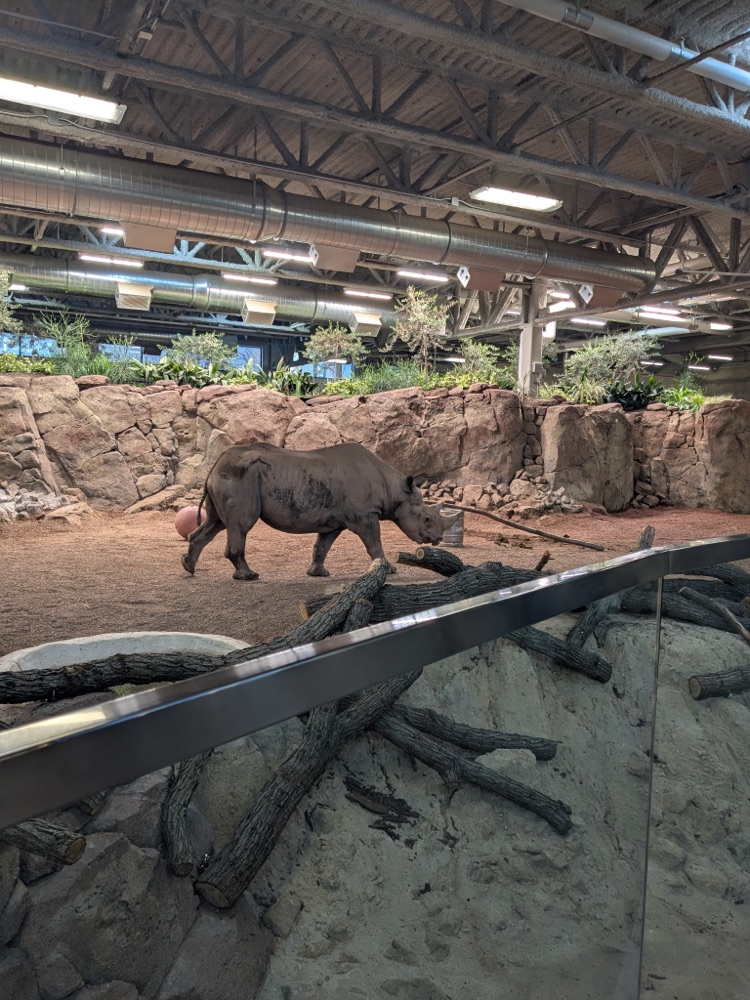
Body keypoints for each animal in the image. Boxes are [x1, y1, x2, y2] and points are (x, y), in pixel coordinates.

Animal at [181, 441, 459, 580]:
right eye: (426, 519)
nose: (438, 538)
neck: (395, 490)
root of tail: (216, 464)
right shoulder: (364, 516)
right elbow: (374, 543)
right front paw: (388, 569)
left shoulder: (334, 521)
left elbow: (322, 546)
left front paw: (318, 573)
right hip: (240, 477)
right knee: (240, 525)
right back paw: (249, 576)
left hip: (230, 476)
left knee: (216, 522)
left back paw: (189, 567)